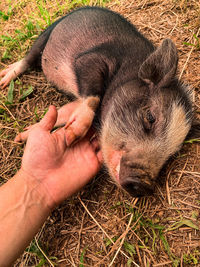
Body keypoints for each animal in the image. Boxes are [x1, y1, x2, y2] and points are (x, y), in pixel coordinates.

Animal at [0, 5, 194, 197]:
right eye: (150, 118)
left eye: (172, 153)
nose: (143, 185)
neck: (127, 75)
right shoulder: (91, 60)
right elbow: (92, 95)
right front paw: (72, 137)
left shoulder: (77, 102)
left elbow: (65, 112)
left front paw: (23, 135)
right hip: (46, 34)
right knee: (29, 58)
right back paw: (4, 79)